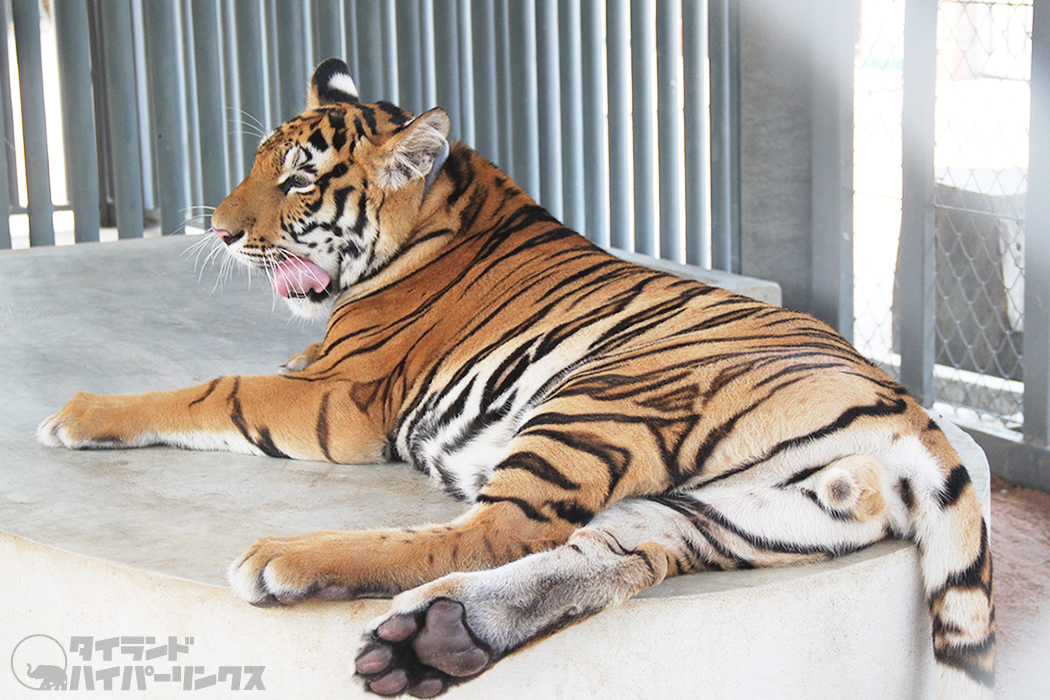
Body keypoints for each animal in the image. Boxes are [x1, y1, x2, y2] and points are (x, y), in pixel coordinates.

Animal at [38, 57, 991, 696]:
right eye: (258, 164)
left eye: (300, 181)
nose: (222, 231)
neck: (439, 208)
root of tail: (908, 413)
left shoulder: (337, 400)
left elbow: (209, 391)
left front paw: (75, 413)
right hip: (731, 512)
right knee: (613, 555)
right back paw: (434, 637)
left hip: (595, 401)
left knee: (496, 531)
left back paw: (289, 560)